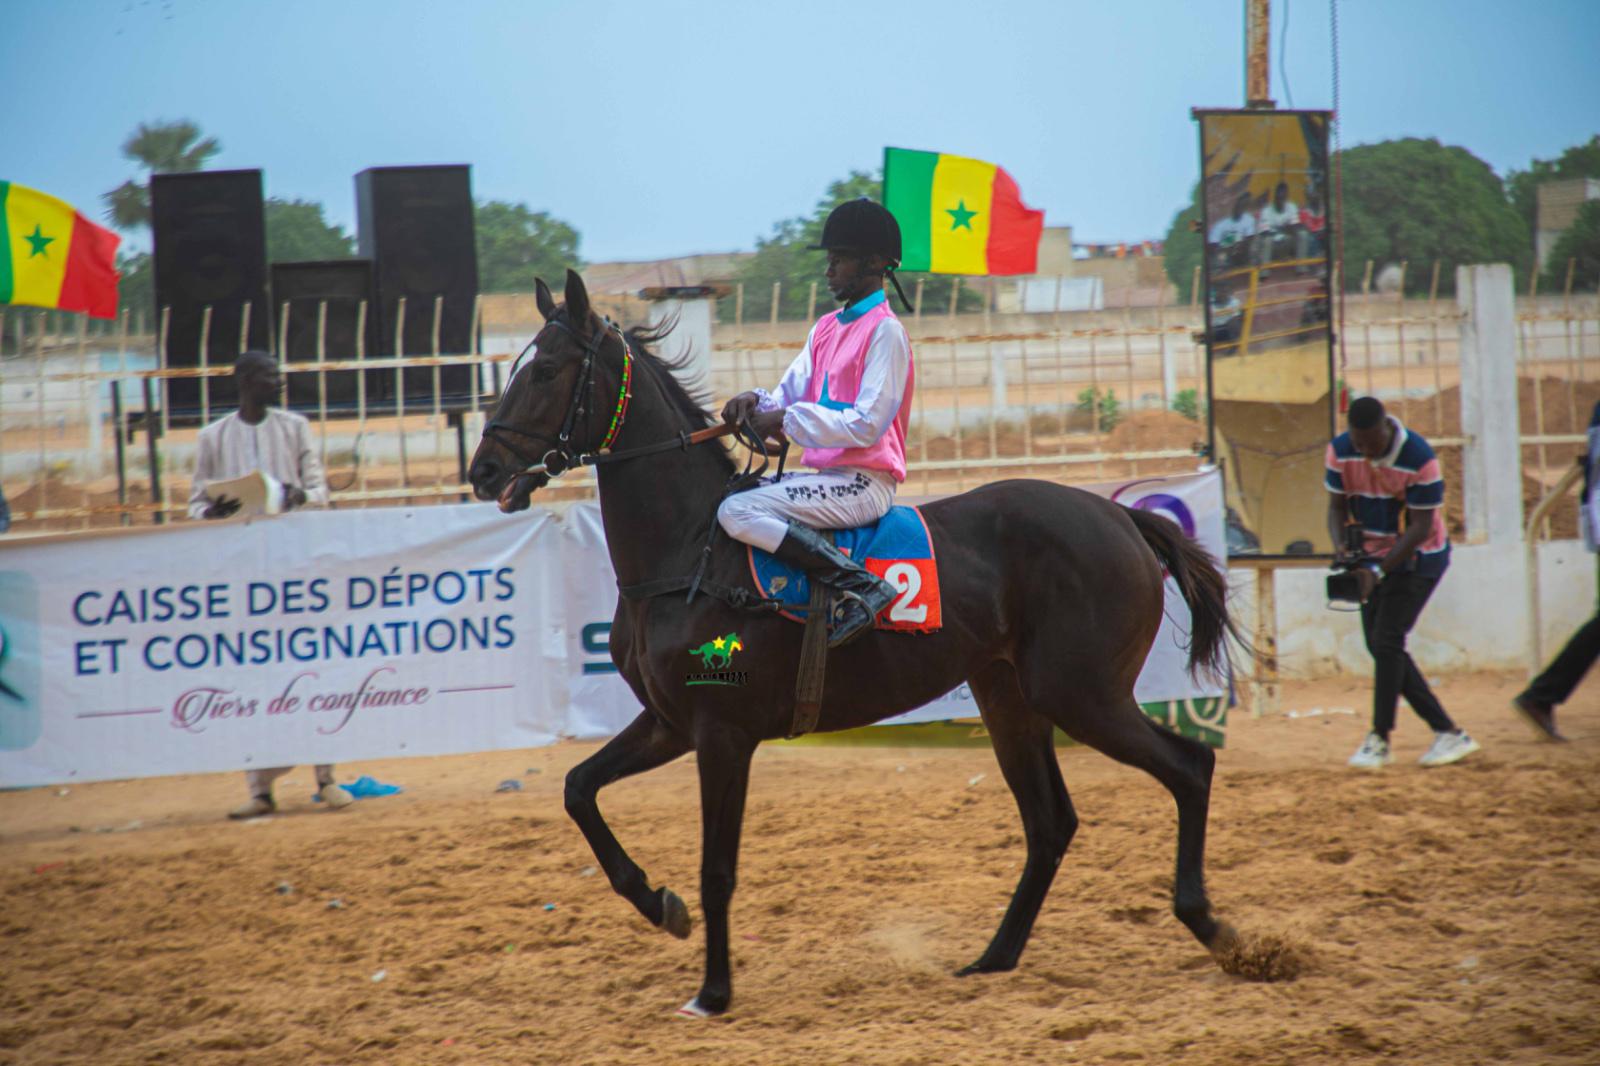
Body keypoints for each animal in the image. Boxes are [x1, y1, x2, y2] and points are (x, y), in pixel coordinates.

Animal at [468, 269, 1244, 1017]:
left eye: (546, 372)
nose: (481, 471)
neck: (690, 551)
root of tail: (1119, 516)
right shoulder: (669, 723)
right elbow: (578, 788)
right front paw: (660, 904)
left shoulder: (722, 733)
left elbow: (717, 869)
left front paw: (713, 992)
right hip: (1010, 700)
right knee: (1052, 822)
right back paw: (994, 957)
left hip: (1083, 694)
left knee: (1191, 766)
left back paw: (1213, 926)